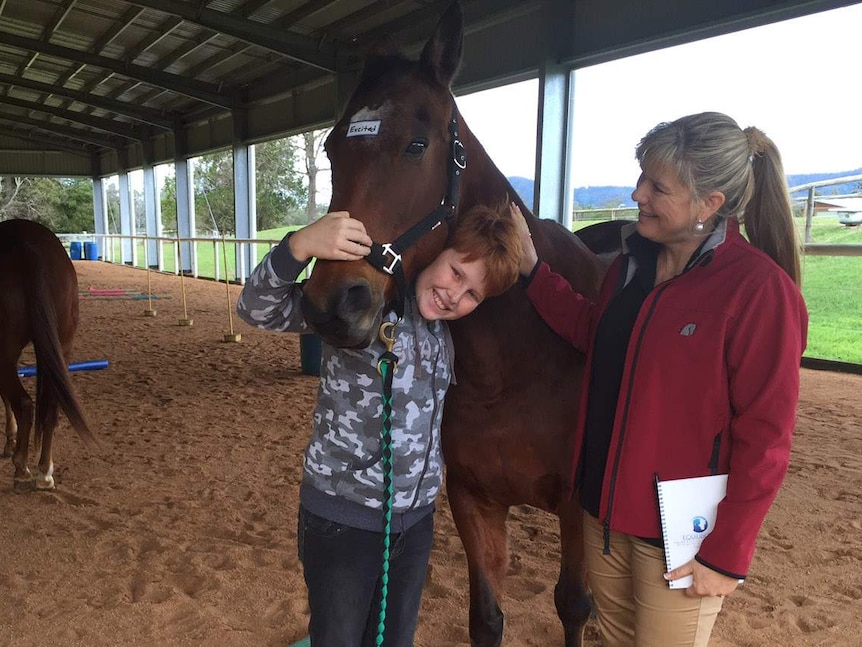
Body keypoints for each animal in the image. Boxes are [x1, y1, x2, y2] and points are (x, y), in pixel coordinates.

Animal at [0, 218, 95, 492]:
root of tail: (26, 243)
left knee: (23, 403)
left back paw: (21, 469)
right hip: (62, 346)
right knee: (51, 407)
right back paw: (44, 472)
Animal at [302, 2, 620, 644]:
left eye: (417, 144)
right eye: (330, 150)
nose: (333, 303)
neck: (518, 358)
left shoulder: (576, 509)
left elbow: (573, 604)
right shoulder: (474, 500)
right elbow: (487, 617)